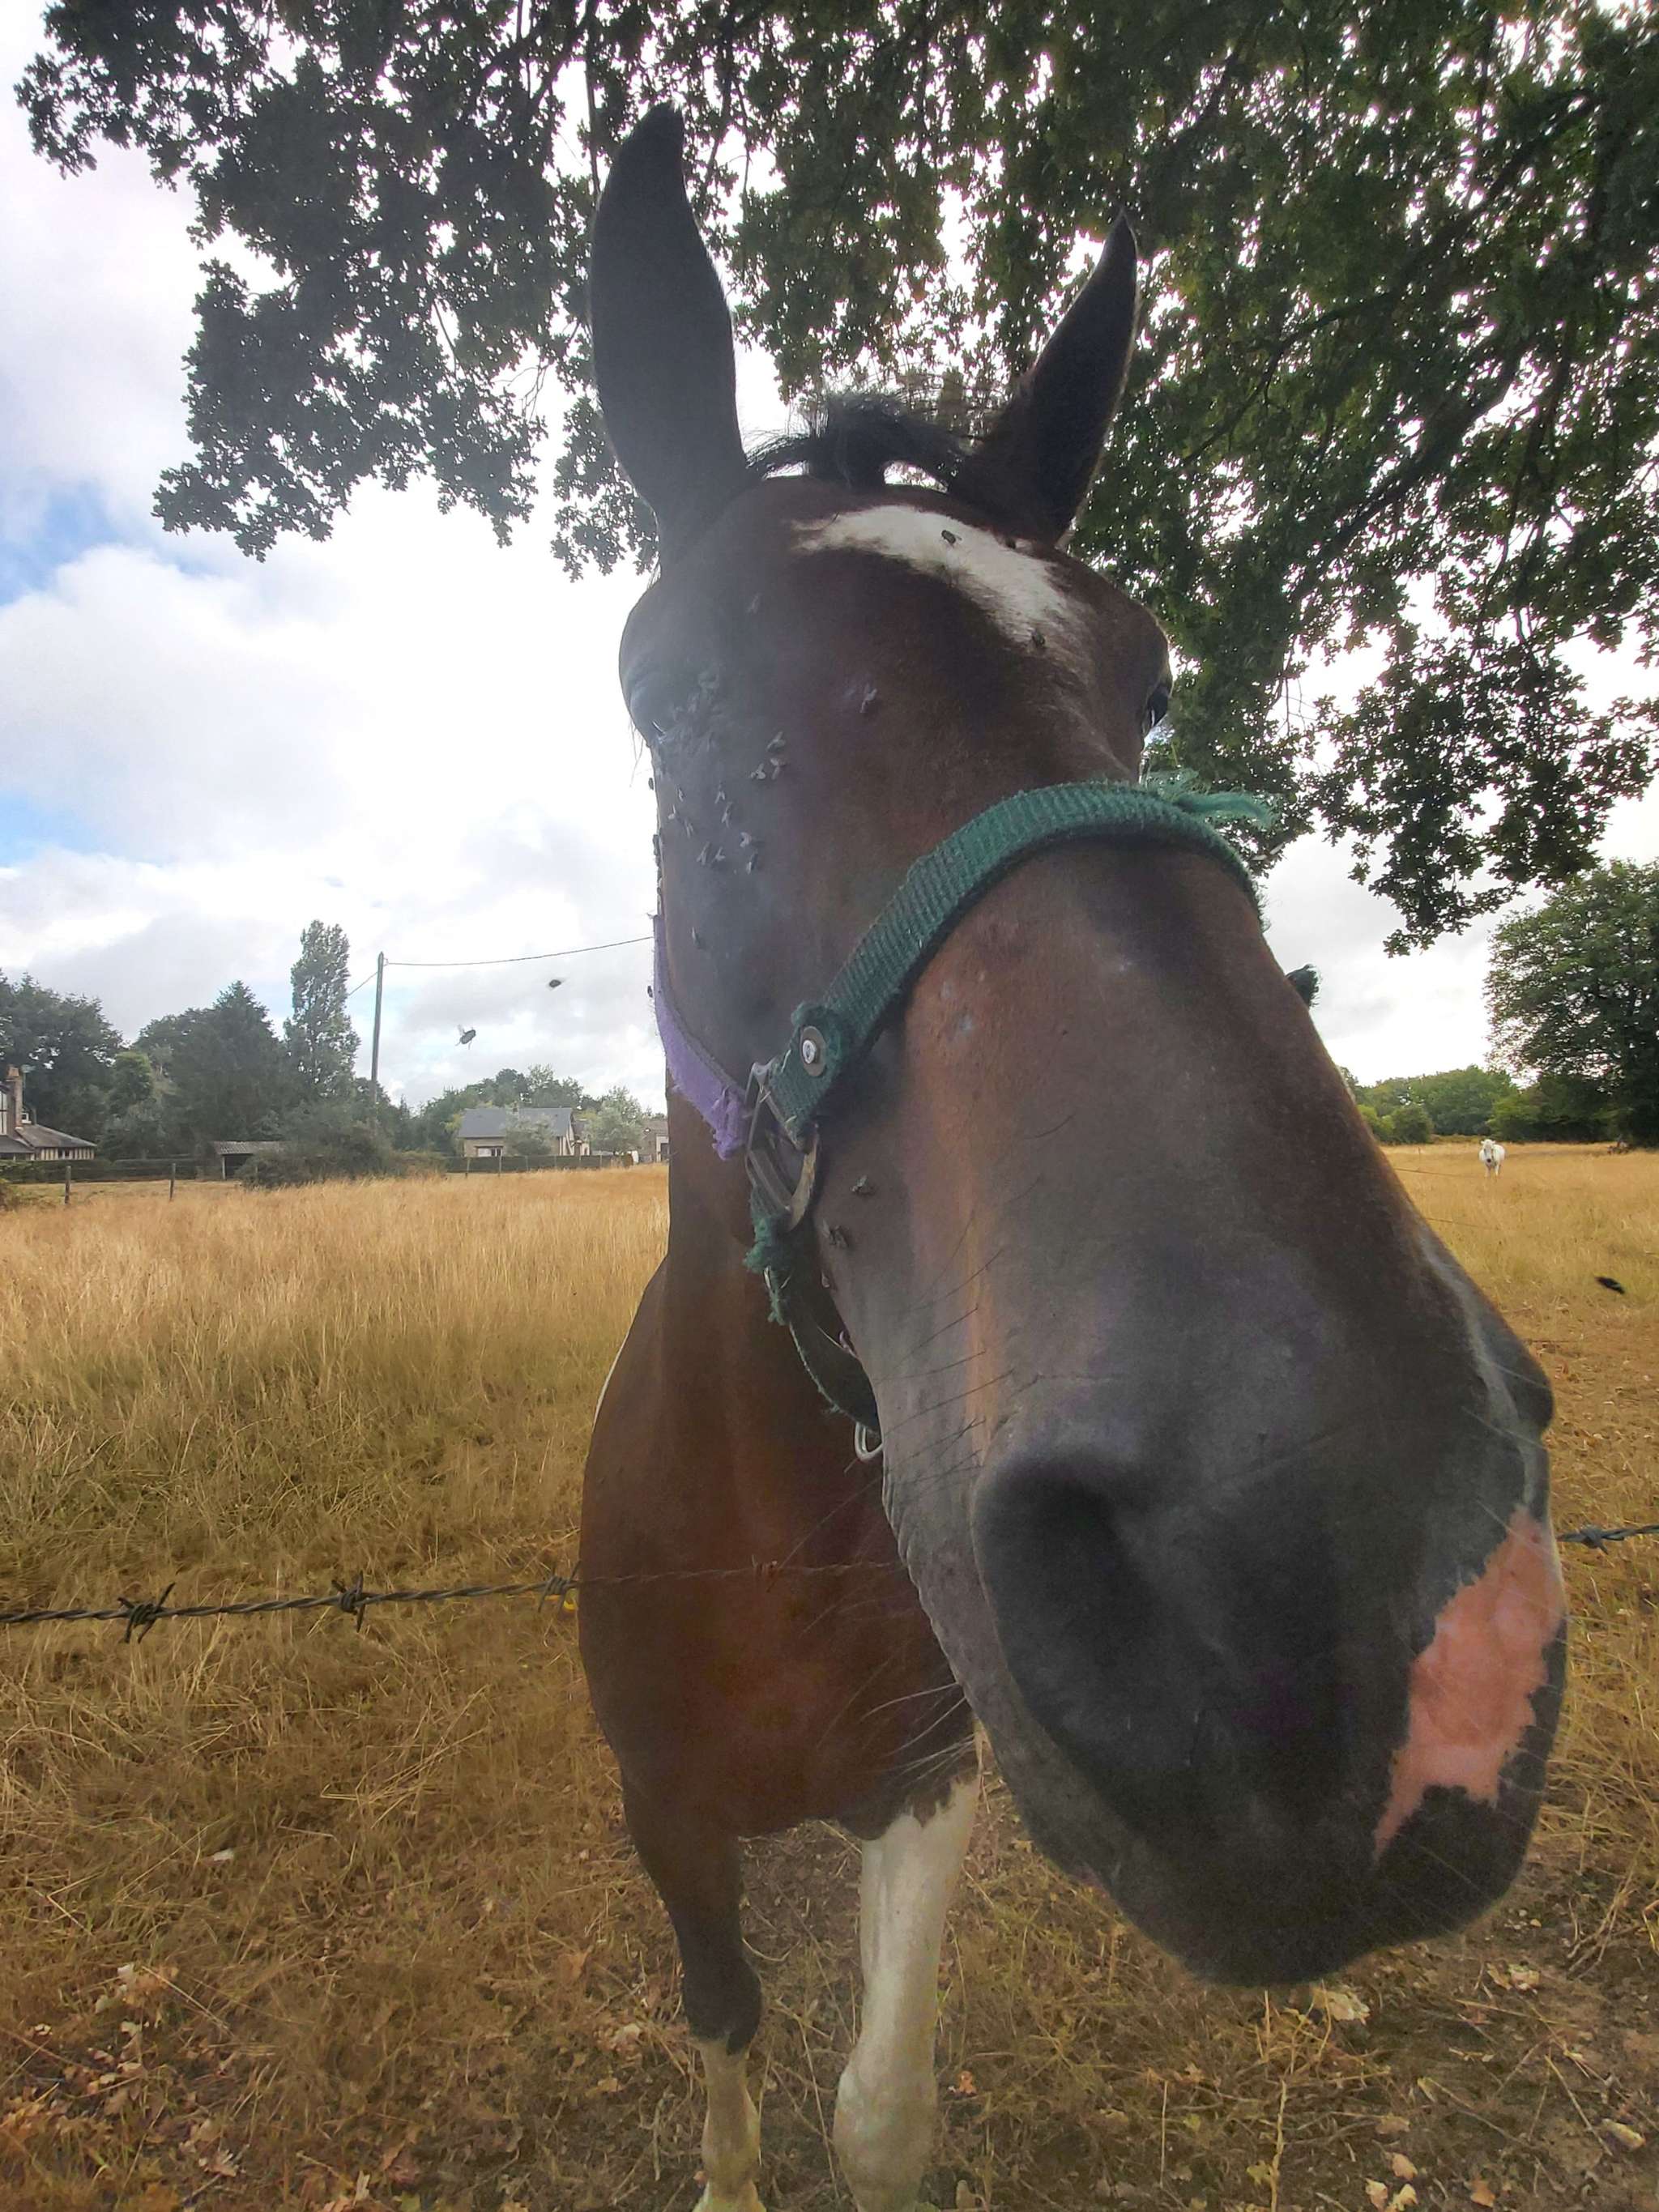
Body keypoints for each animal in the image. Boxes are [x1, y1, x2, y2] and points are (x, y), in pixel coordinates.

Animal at [579, 107, 1567, 2212]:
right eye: (673, 698)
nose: (1334, 1579)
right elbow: (723, 2035)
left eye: (1147, 683)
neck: (760, 1525)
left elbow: (879, 2108)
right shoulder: (664, 1817)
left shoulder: (931, 1780)